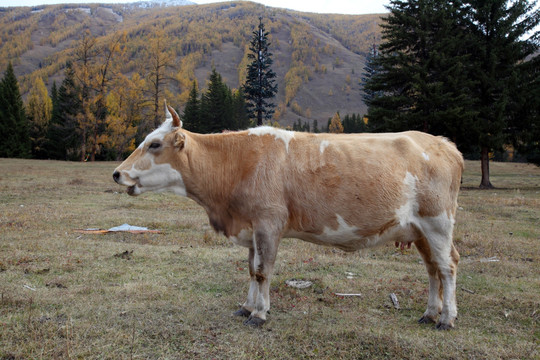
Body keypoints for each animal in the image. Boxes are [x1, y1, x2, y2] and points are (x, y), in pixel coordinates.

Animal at [113, 102, 464, 330]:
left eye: (154, 144)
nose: (117, 174)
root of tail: (442, 142)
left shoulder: (268, 223)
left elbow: (263, 271)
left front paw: (260, 314)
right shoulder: (251, 228)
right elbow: (251, 269)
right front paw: (246, 307)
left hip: (437, 222)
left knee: (447, 266)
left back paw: (447, 318)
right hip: (419, 230)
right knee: (432, 269)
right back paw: (430, 313)